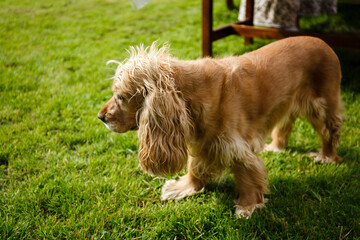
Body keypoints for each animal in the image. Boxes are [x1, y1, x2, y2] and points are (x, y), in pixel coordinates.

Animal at [97, 36, 344, 218]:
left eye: (121, 97)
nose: (100, 117)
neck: (190, 92)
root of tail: (322, 41)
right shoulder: (203, 141)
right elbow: (195, 167)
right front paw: (185, 187)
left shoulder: (235, 146)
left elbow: (247, 174)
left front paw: (248, 205)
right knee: (286, 123)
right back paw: (276, 146)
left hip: (322, 104)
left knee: (330, 131)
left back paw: (327, 156)